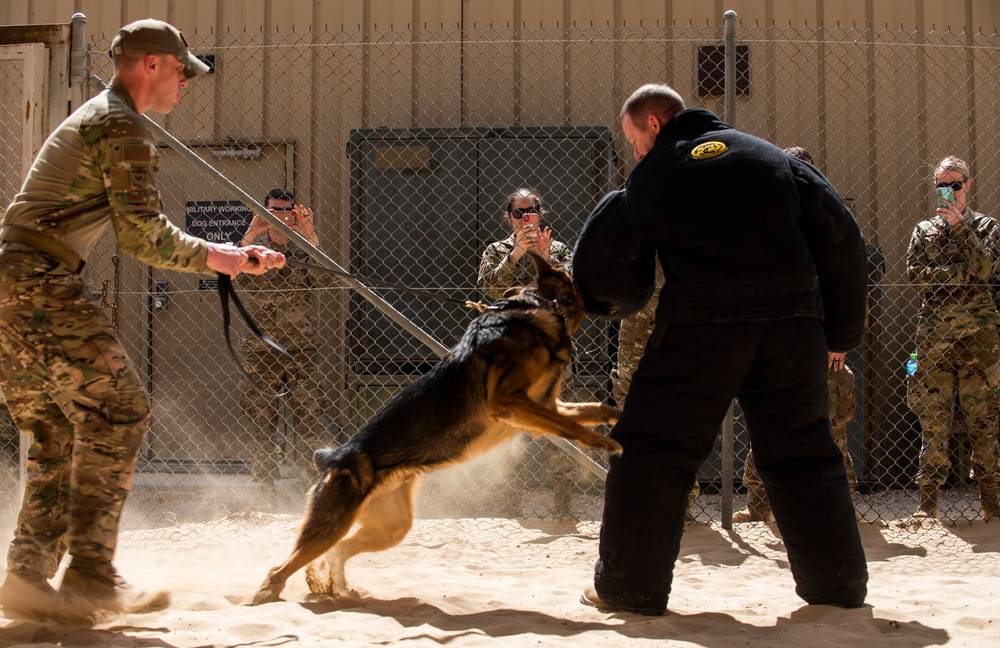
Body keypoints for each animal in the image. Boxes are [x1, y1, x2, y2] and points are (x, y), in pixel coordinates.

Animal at [250, 251, 620, 604]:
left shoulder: (544, 407)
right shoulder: (512, 402)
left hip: (391, 527)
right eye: (569, 262)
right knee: (282, 566)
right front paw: (602, 444)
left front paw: (615, 420)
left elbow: (594, 409)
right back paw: (269, 592)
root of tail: (335, 456)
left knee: (337, 551)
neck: (541, 307)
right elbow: (569, 425)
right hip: (331, 524)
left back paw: (332, 587)